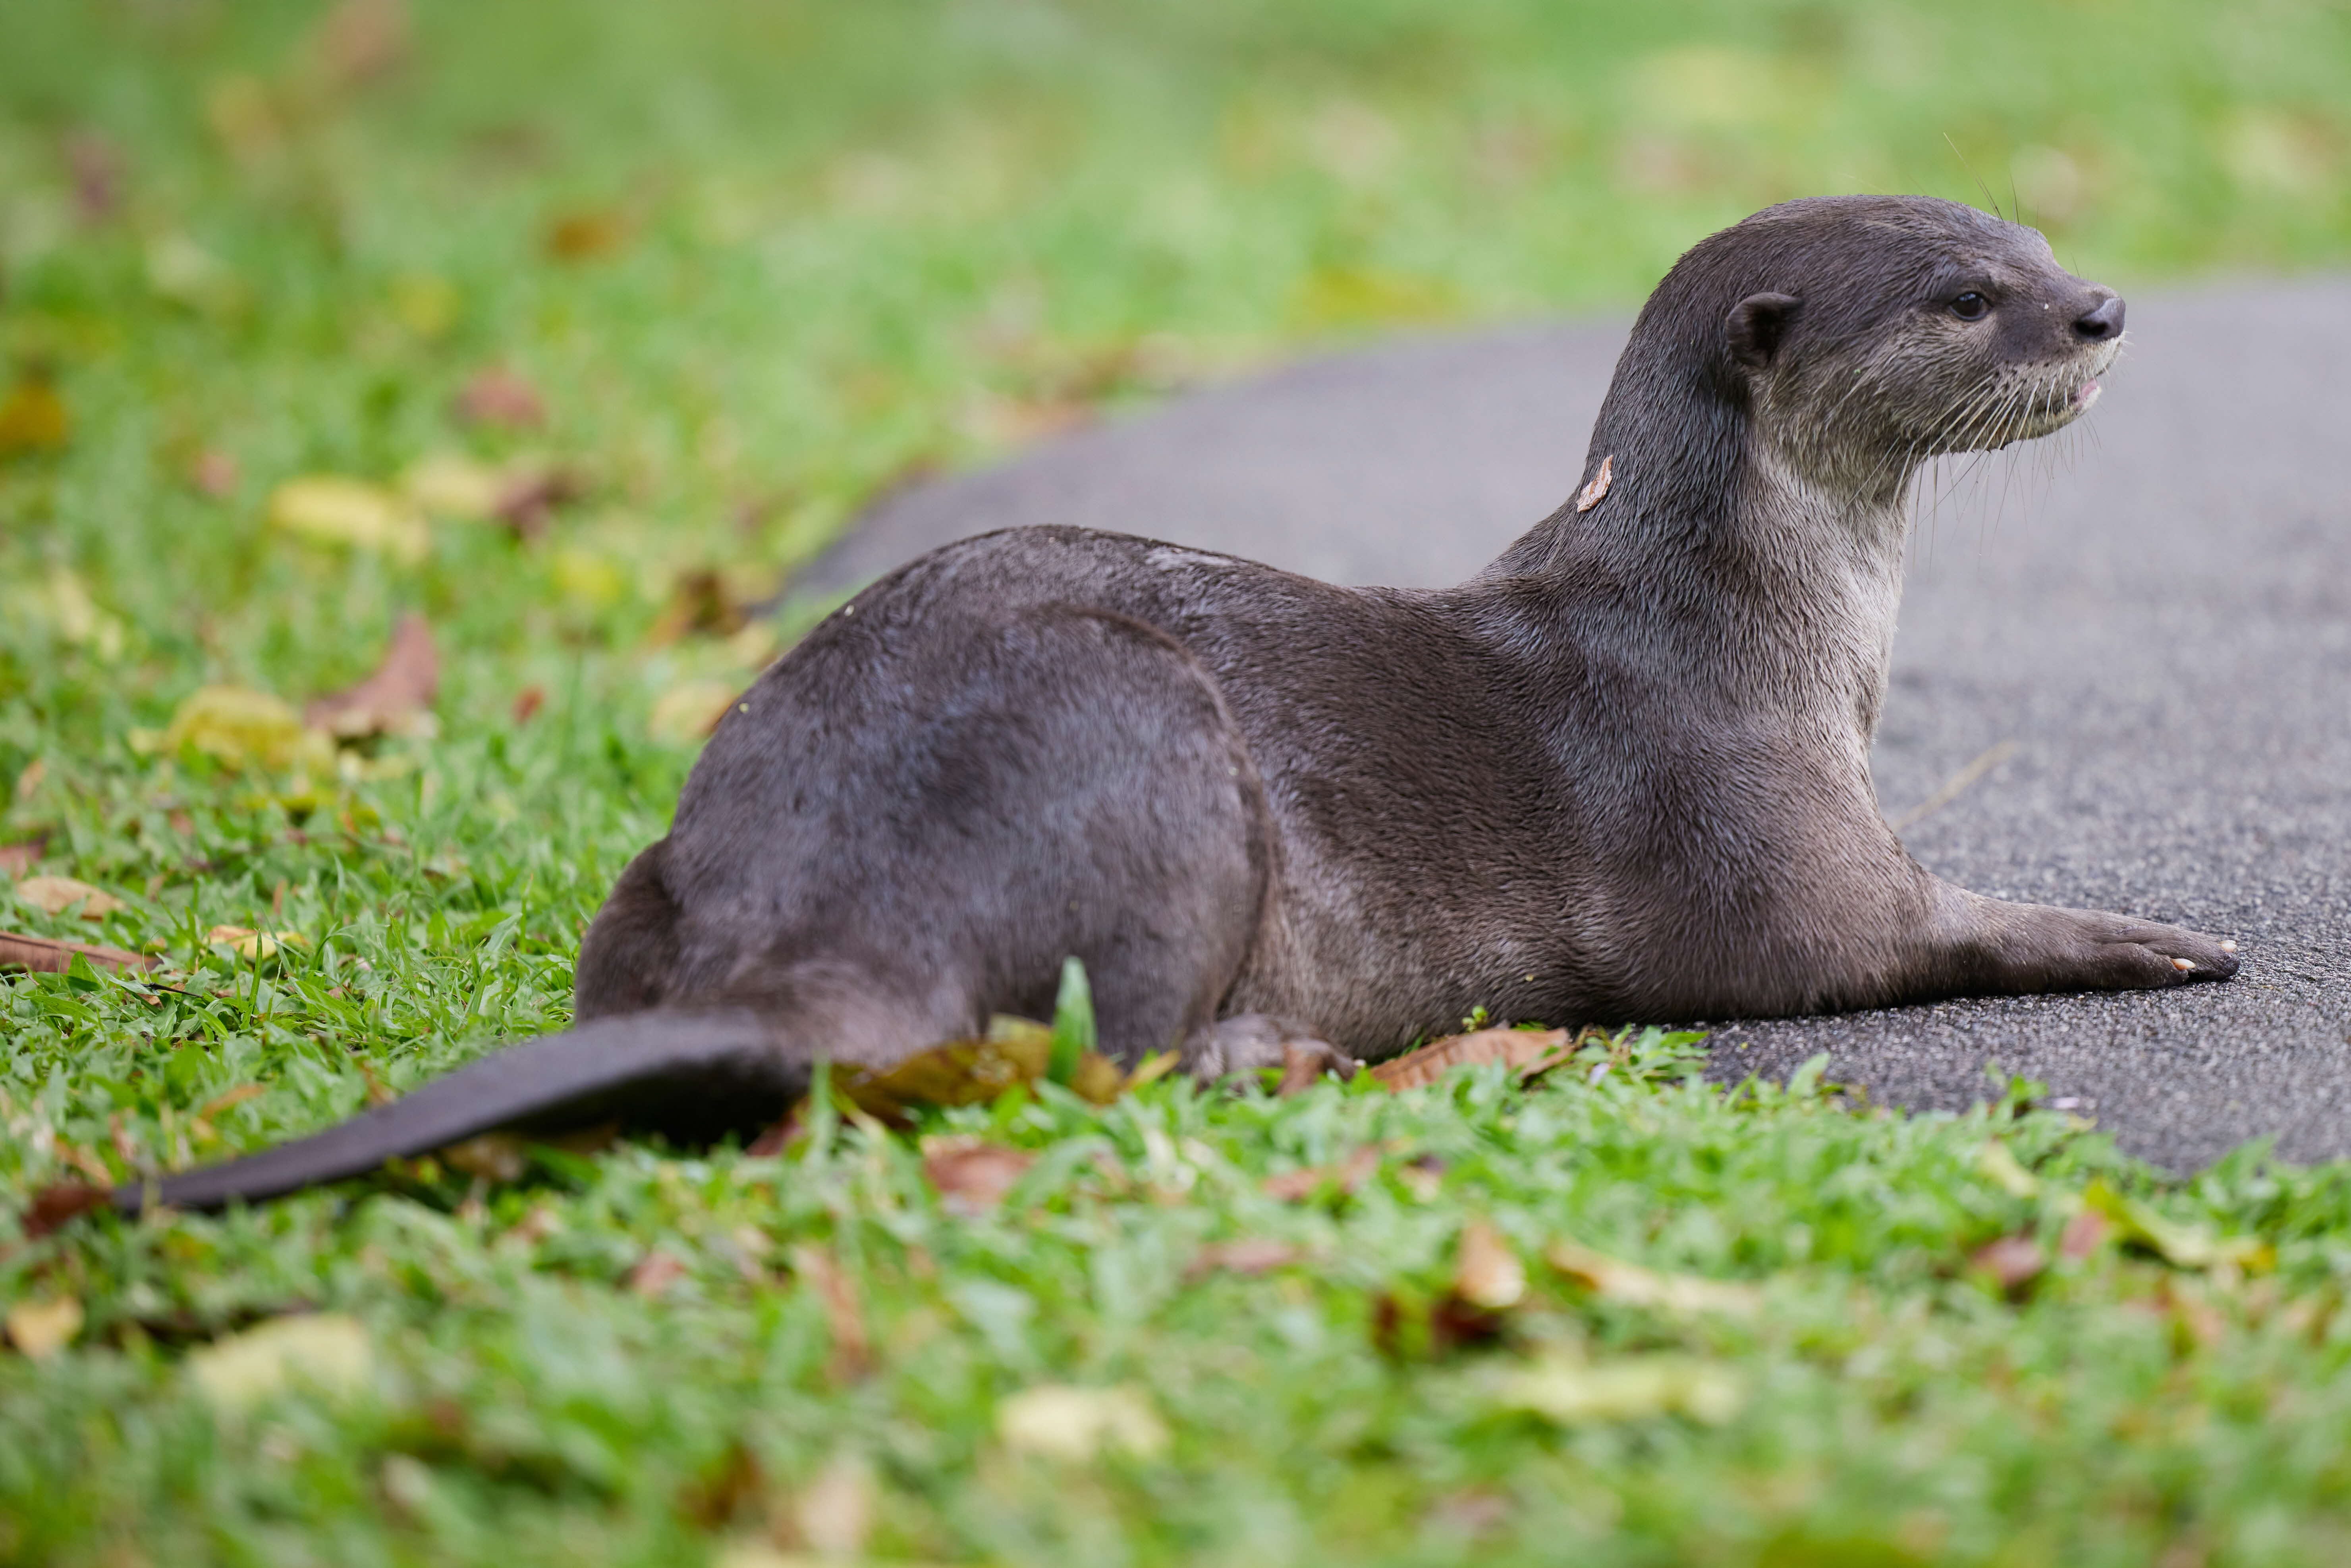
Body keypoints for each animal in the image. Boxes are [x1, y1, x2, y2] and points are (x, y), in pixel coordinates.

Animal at [95, 194, 2236, 1217]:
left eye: (2035, 242)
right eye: (1960, 292)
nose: (2104, 308)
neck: (1745, 624)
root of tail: (822, 933)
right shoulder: (1751, 831)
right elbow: (1879, 936)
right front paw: (2152, 934)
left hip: (673, 853)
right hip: (1150, 759)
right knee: (1090, 1050)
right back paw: (1294, 1055)